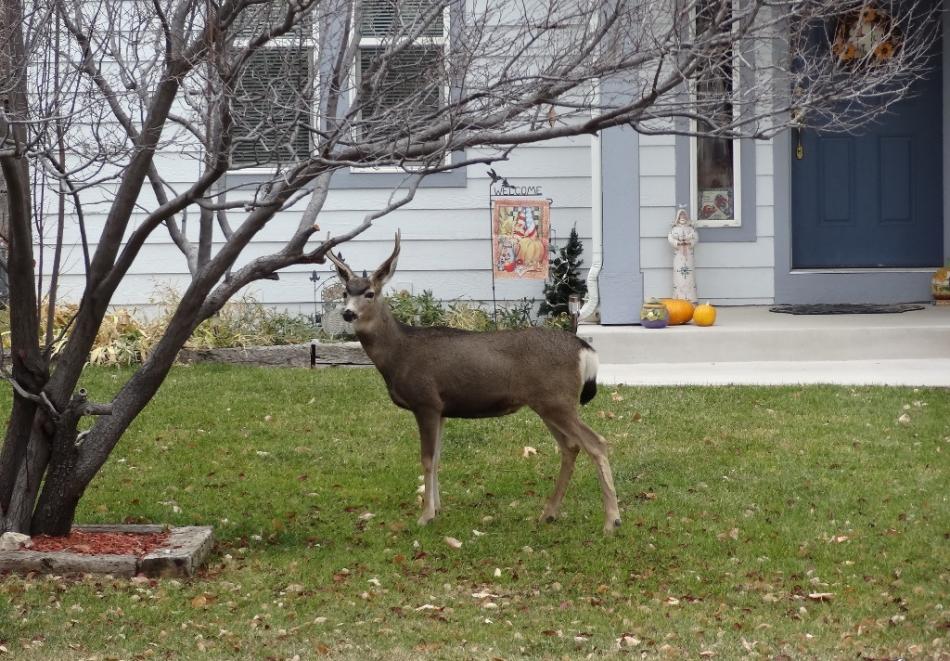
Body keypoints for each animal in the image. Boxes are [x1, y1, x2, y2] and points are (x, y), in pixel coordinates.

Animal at [326, 233, 621, 534]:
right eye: (345, 292)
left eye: (370, 293)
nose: (348, 313)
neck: (399, 353)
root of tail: (584, 348)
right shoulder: (442, 410)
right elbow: (438, 457)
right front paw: (438, 508)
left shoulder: (426, 401)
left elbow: (427, 459)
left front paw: (425, 515)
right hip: (549, 403)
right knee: (571, 447)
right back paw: (548, 513)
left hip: (557, 400)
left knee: (596, 443)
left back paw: (611, 520)